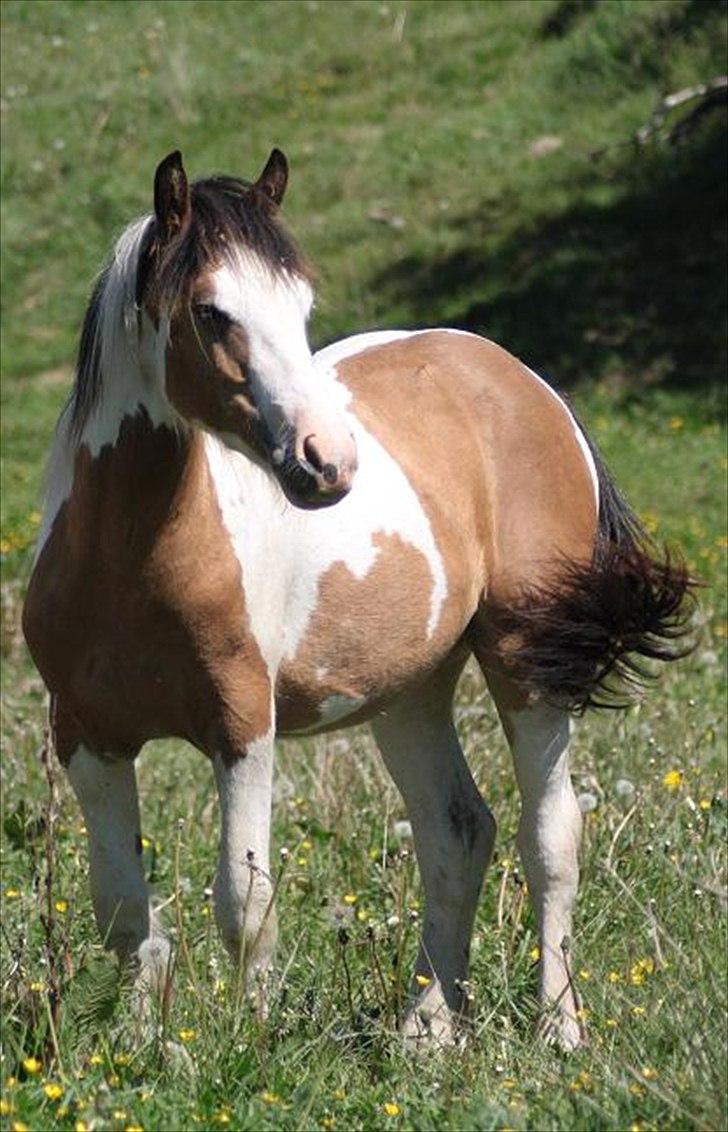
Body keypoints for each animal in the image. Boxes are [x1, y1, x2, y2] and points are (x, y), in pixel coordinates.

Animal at [22, 150, 692, 1050]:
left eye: (302, 307)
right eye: (212, 312)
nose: (327, 461)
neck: (130, 561)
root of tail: (527, 385)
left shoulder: (243, 726)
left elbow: (246, 902)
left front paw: (252, 1044)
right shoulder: (87, 737)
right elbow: (125, 914)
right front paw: (141, 1048)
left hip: (527, 663)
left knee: (550, 835)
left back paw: (557, 1028)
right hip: (409, 691)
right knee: (457, 832)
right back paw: (427, 1031)